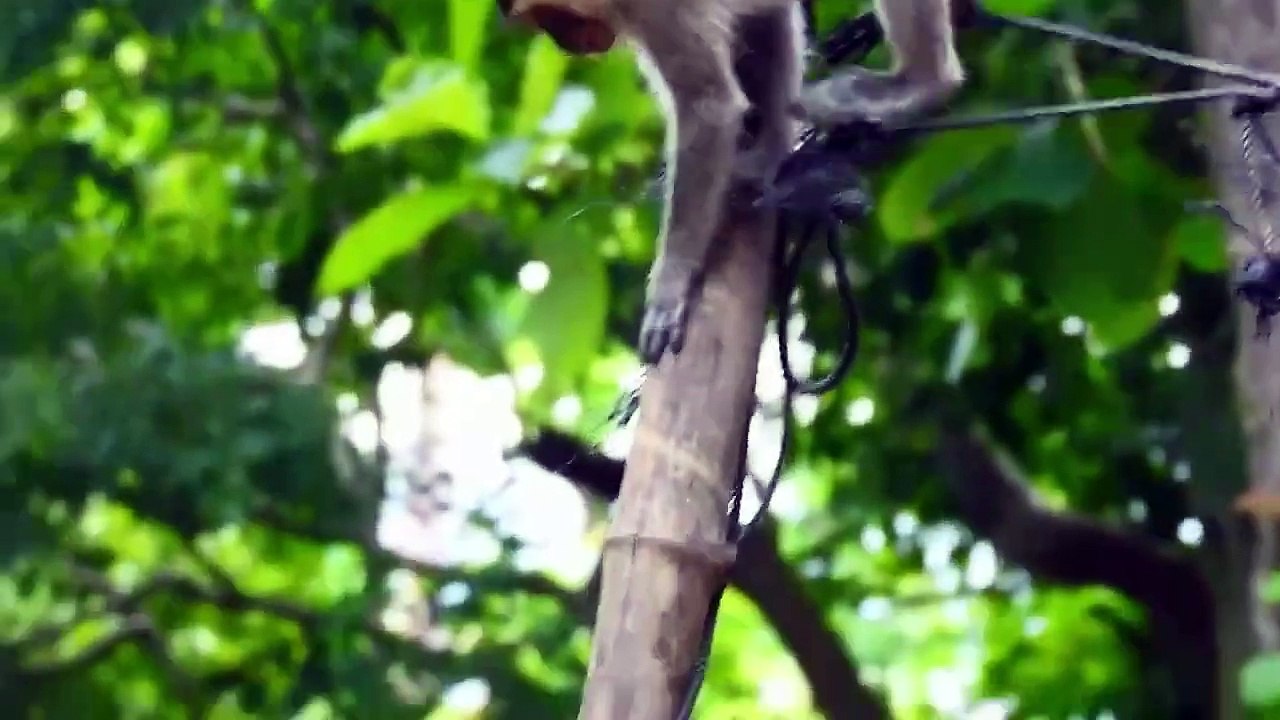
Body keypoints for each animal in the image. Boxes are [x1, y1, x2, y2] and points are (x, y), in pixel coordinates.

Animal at [497, 0, 967, 364]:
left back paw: (922, 84)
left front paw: (669, 289)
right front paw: (765, 156)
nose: (568, 46)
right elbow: (768, 18)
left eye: (553, 18)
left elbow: (708, 106)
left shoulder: (652, 9)